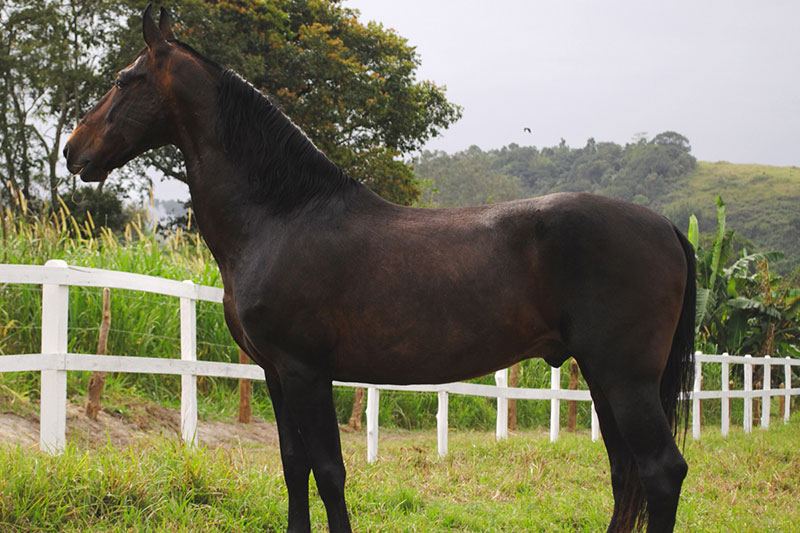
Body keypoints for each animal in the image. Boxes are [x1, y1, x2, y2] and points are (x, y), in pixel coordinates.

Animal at [64, 7, 695, 532]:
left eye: (123, 79)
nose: (73, 151)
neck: (282, 216)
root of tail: (665, 225)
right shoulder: (274, 372)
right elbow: (293, 466)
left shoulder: (306, 371)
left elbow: (329, 471)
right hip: (603, 377)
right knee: (624, 472)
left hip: (625, 378)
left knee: (660, 470)